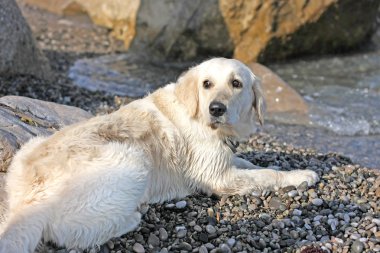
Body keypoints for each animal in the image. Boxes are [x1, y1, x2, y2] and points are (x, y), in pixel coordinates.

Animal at [0, 58, 318, 252]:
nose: (216, 108)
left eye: (236, 84)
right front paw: (300, 175)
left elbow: (251, 163)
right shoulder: (219, 177)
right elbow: (266, 174)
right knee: (73, 234)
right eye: (207, 84)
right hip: (132, 158)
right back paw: (133, 216)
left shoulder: (224, 159)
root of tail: (31, 197)